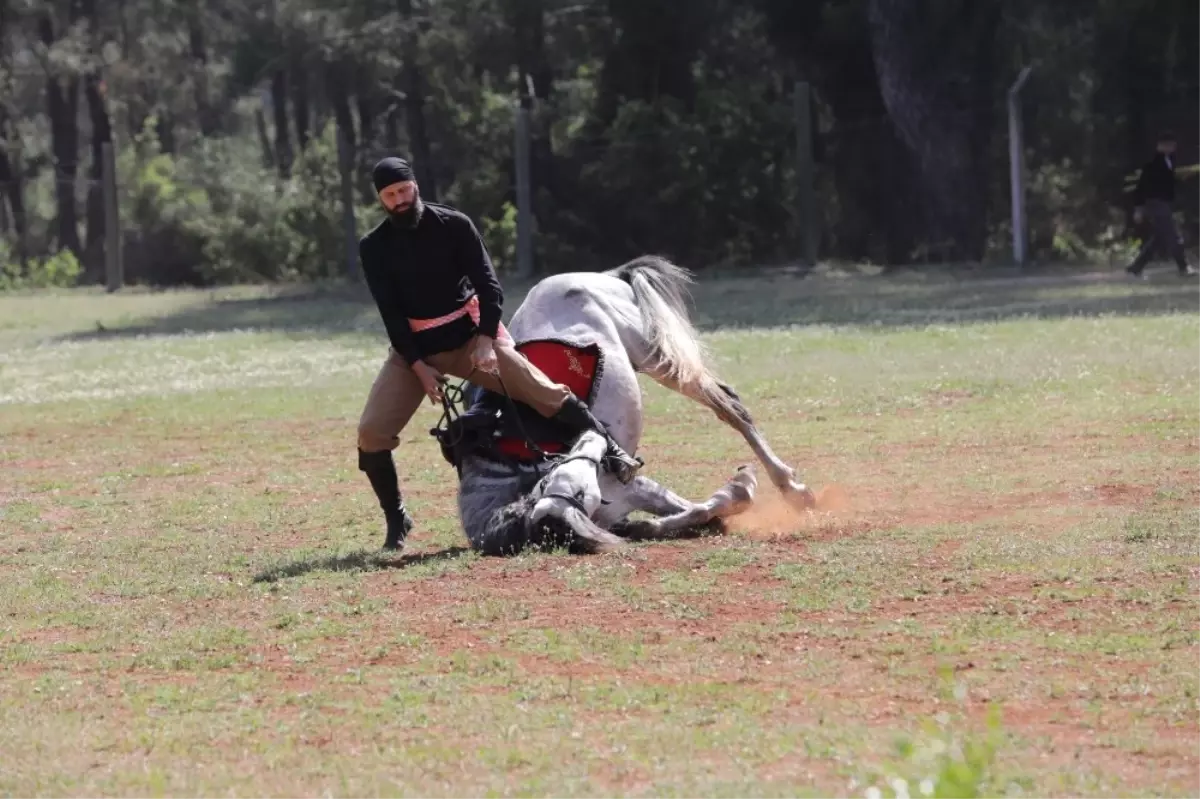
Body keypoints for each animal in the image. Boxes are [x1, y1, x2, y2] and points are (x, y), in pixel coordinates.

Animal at [436, 255, 820, 554]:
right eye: (574, 487)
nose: (596, 433)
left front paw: (740, 487)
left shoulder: (631, 484)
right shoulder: (630, 491)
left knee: (730, 407)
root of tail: (604, 277)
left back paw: (793, 488)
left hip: (657, 357)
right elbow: (697, 511)